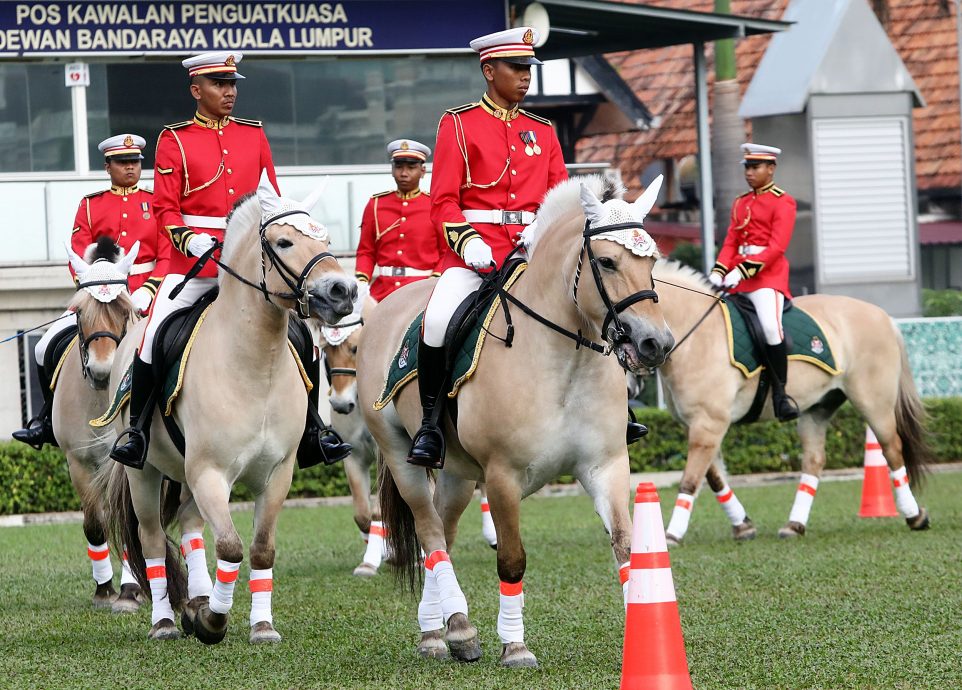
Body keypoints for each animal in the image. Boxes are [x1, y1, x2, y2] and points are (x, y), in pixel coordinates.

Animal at [96, 176, 356, 640]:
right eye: (285, 242)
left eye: (326, 239)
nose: (343, 292)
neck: (255, 365)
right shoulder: (210, 472)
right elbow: (232, 548)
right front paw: (214, 621)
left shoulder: (276, 475)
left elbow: (262, 549)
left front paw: (261, 627)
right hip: (144, 473)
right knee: (151, 539)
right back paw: (165, 622)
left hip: (186, 477)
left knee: (190, 525)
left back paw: (196, 601)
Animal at [356, 176, 672, 668]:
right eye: (606, 261)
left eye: (652, 259)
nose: (655, 343)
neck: (564, 360)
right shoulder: (503, 477)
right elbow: (512, 560)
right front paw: (516, 646)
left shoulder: (606, 466)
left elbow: (624, 544)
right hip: (400, 453)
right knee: (430, 532)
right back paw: (458, 628)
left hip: (458, 474)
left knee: (443, 533)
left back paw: (441, 632)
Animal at [648, 260, 928, 544]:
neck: (697, 336)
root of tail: (884, 317)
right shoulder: (694, 425)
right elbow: (714, 479)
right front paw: (743, 525)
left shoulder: (708, 424)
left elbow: (691, 480)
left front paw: (670, 535)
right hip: (818, 408)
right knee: (814, 460)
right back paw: (795, 525)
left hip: (874, 403)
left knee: (892, 449)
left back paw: (915, 516)